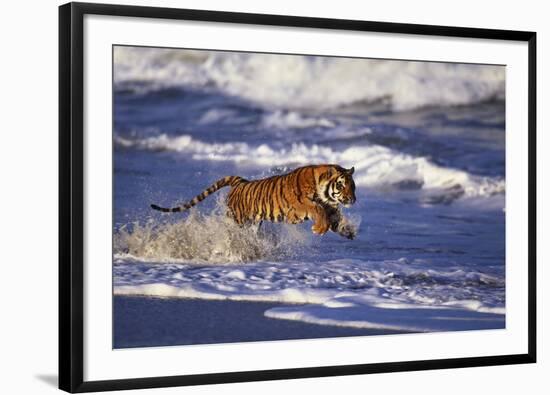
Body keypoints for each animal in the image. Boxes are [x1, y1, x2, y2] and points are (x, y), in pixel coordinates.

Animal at [151, 166, 358, 240]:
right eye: (342, 185)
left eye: (353, 186)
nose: (353, 199)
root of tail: (239, 181)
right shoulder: (299, 208)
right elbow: (316, 209)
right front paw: (319, 228)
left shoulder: (331, 209)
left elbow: (335, 220)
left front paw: (348, 231)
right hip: (236, 220)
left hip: (253, 223)